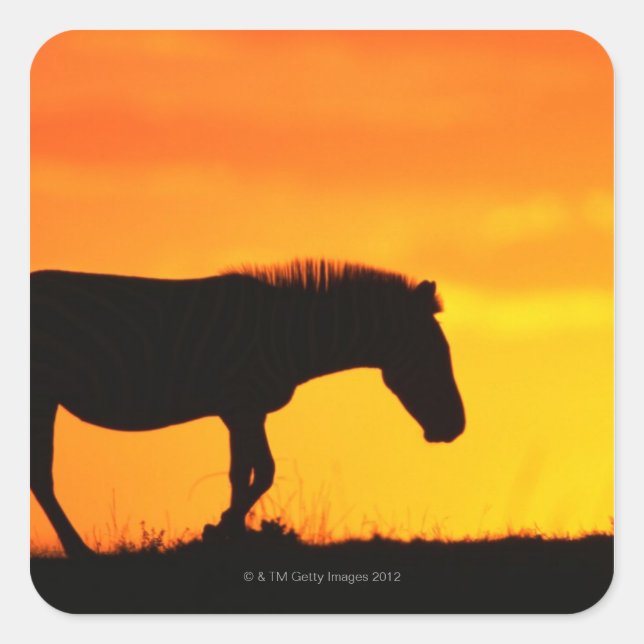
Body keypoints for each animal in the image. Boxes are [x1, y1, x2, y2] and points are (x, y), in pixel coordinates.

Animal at [31, 259, 465, 556]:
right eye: (434, 356)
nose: (456, 428)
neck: (289, 337)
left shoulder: (247, 411)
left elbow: (252, 473)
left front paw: (227, 532)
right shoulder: (242, 405)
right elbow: (254, 473)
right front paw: (221, 530)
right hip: (42, 393)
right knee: (41, 475)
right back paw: (79, 550)